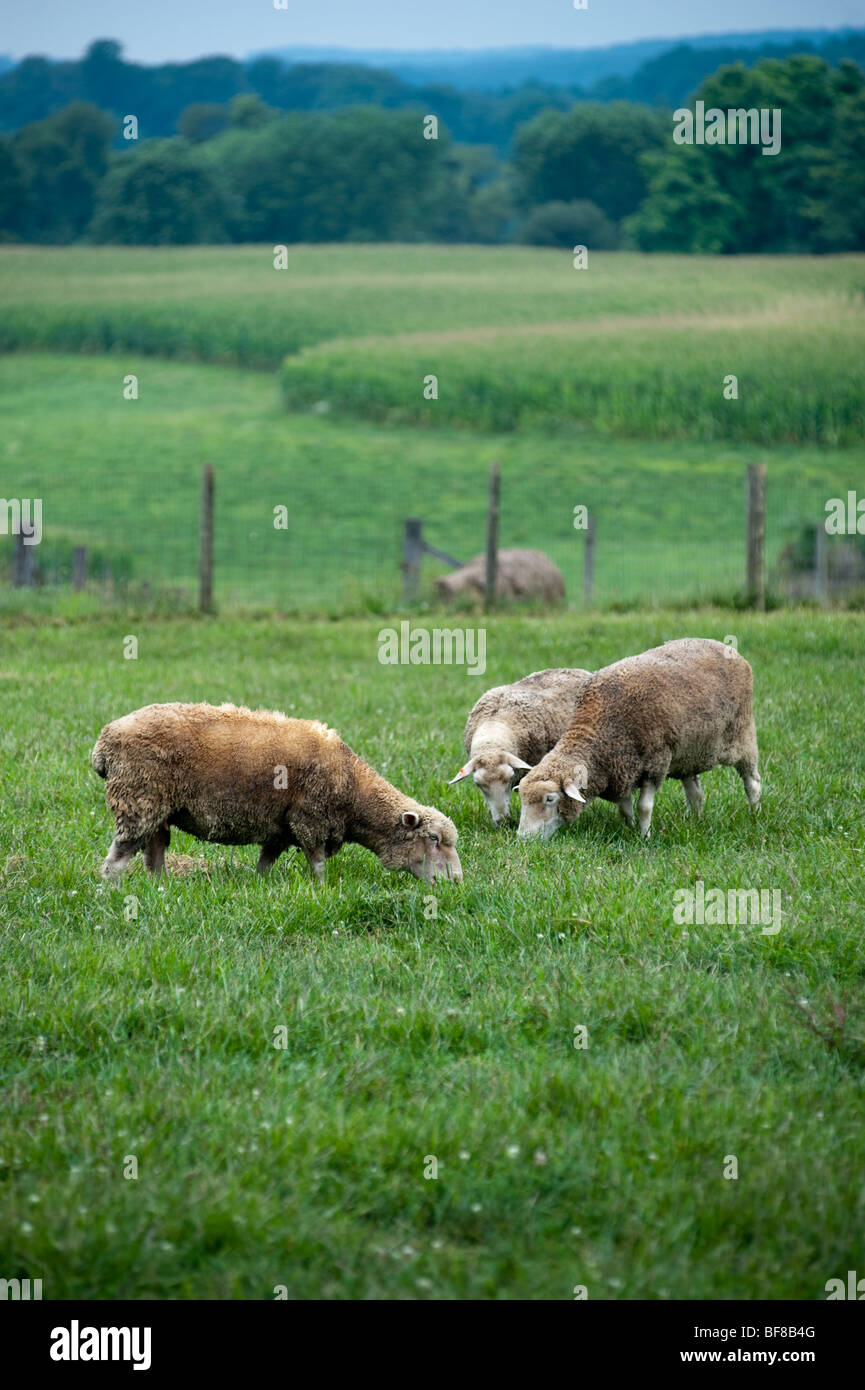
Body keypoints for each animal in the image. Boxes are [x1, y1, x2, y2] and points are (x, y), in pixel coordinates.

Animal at [91, 700, 464, 884]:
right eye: (433, 839)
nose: (458, 882)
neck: (355, 791)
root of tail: (104, 742)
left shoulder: (281, 827)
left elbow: (265, 862)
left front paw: (260, 887)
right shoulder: (309, 819)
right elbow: (317, 862)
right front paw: (322, 889)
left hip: (158, 806)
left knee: (154, 850)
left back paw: (160, 887)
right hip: (139, 799)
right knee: (118, 857)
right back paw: (112, 889)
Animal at [517, 636, 762, 839]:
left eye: (550, 799)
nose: (523, 839)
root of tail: (727, 648)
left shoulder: (655, 763)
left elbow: (644, 807)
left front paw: (644, 837)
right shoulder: (620, 771)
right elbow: (625, 809)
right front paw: (630, 829)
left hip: (743, 735)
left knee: (753, 782)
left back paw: (754, 815)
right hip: (689, 754)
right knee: (695, 794)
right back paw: (694, 821)